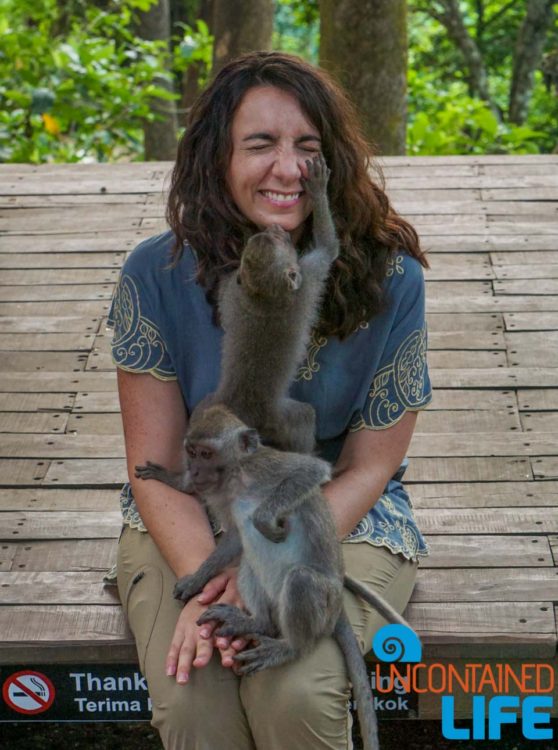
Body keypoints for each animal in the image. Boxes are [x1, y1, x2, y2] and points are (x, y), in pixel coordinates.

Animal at [136, 408, 416, 750]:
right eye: (191, 452)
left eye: (207, 454)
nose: (195, 472)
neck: (234, 480)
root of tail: (337, 603)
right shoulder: (224, 497)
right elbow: (235, 540)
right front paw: (197, 578)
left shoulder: (262, 467)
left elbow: (310, 470)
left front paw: (264, 519)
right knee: (250, 567)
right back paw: (257, 623)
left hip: (322, 604)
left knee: (301, 580)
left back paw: (289, 648)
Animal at [199, 151, 344, 452]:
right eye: (279, 239)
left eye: (271, 237)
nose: (276, 226)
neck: (265, 298)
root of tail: (244, 410)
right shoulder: (308, 276)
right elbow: (328, 248)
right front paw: (317, 189)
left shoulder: (237, 298)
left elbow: (225, 293)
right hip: (281, 418)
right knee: (304, 416)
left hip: (211, 404)